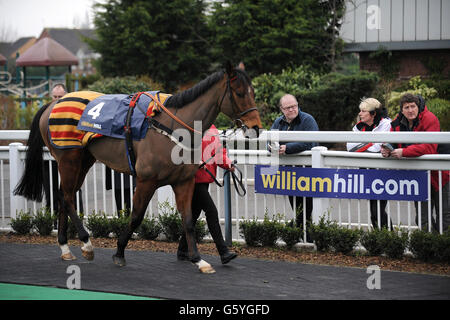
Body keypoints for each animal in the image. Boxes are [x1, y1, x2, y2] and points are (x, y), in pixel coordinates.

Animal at [14, 63, 262, 274]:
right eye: (240, 93)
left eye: (253, 92)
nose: (256, 127)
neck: (172, 127)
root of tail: (52, 104)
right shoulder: (146, 180)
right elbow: (136, 216)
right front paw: (119, 252)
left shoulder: (183, 182)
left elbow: (189, 220)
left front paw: (199, 260)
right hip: (68, 159)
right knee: (66, 196)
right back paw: (86, 243)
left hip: (83, 160)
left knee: (65, 195)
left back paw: (66, 248)